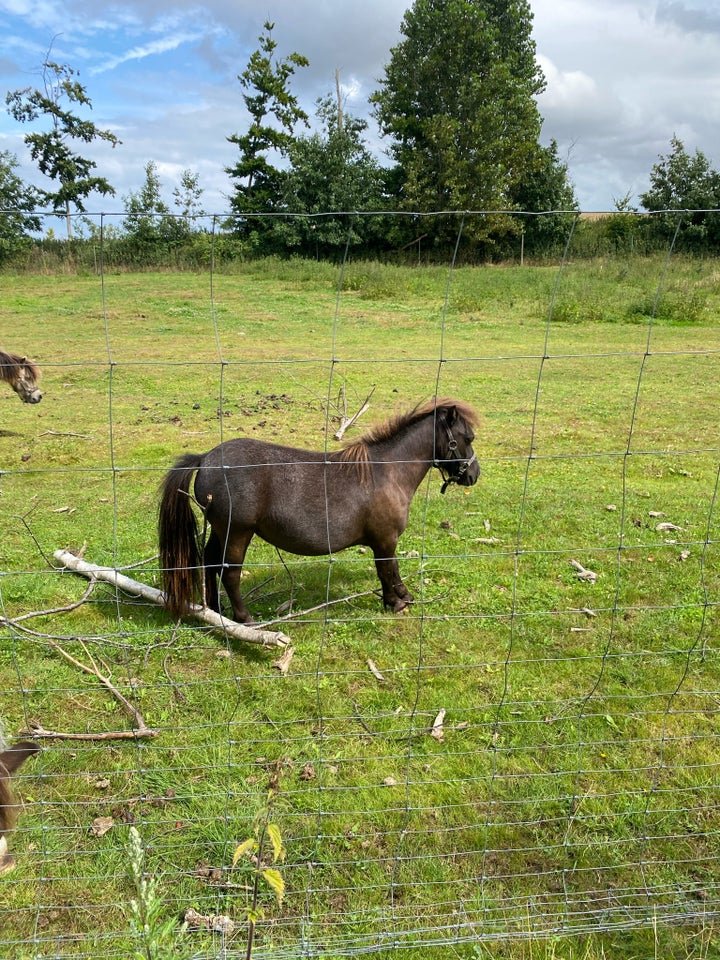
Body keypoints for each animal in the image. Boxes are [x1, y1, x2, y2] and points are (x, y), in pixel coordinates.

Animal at [160, 396, 480, 624]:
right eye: (468, 438)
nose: (474, 474)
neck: (387, 471)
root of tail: (206, 459)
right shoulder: (385, 540)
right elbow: (387, 569)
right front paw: (396, 602)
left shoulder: (384, 540)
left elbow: (392, 569)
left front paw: (402, 596)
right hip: (237, 533)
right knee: (229, 572)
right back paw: (244, 618)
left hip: (221, 531)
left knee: (210, 563)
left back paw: (216, 610)